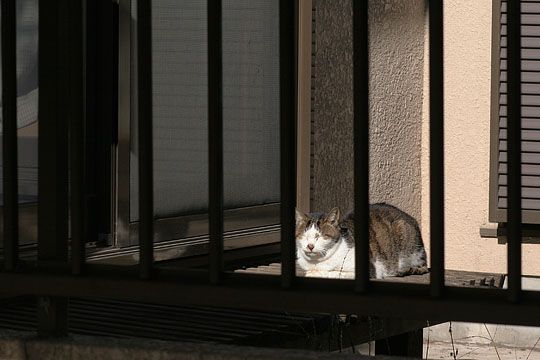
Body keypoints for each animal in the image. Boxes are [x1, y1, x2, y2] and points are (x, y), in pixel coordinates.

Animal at [296, 202, 430, 278]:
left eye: (320, 236)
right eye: (304, 236)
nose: (310, 246)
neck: (316, 262)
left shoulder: (368, 269)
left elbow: (333, 272)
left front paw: (313, 273)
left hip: (406, 235)